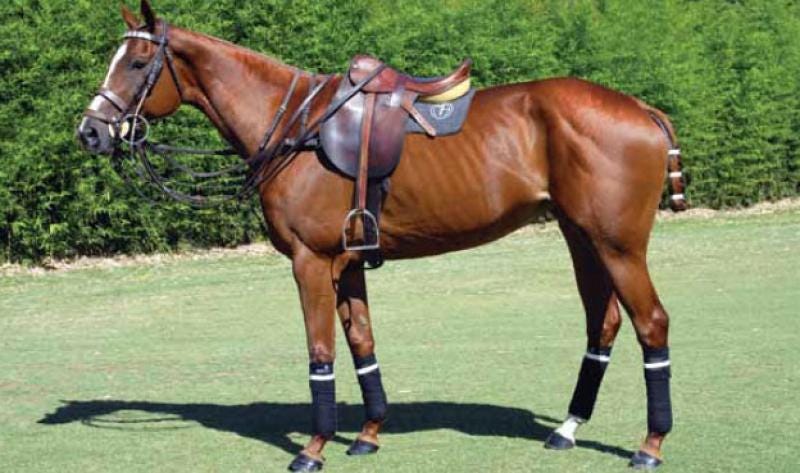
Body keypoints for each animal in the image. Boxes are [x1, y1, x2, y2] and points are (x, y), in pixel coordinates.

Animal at [77, 1, 687, 471]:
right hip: (581, 237)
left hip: (619, 245)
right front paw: (368, 434)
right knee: (603, 323)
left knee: (652, 323)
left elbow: (321, 351)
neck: (298, 129)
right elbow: (362, 342)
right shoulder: (347, 261)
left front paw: (314, 447)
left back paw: (650, 444)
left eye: (137, 62)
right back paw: (567, 428)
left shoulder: (310, 260)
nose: (90, 132)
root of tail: (643, 109)